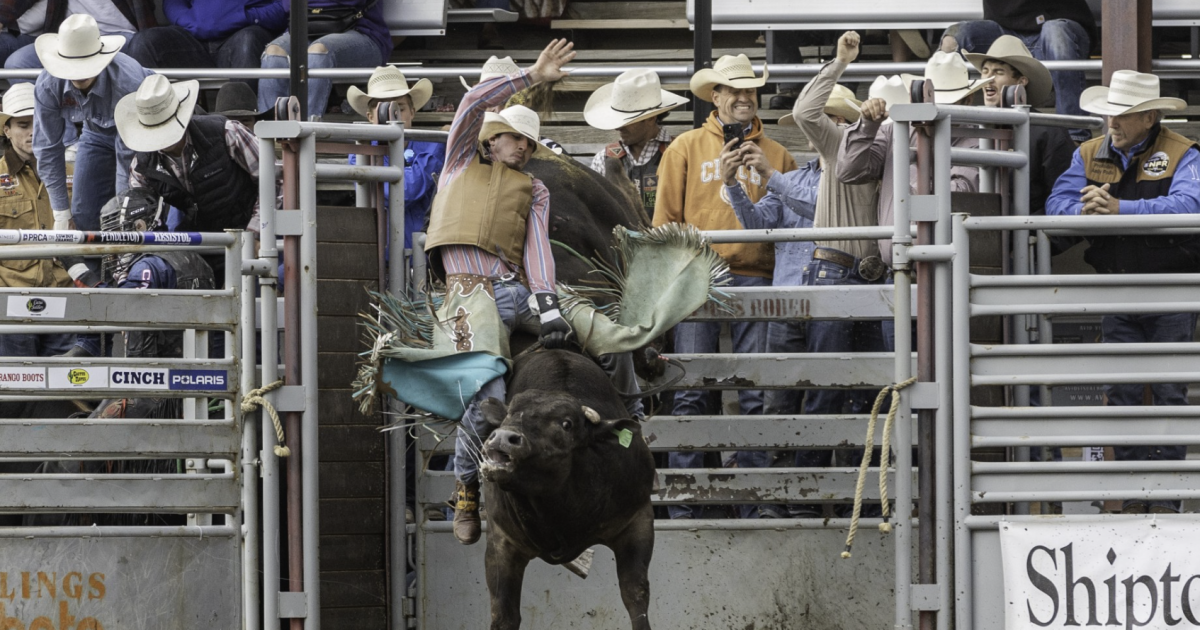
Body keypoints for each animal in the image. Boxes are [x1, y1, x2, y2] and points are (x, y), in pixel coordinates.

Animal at [479, 349, 656, 630]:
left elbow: (635, 595)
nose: (504, 437)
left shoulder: (638, 520)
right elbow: (504, 614)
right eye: (509, 413)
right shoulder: (501, 541)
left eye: (566, 424)